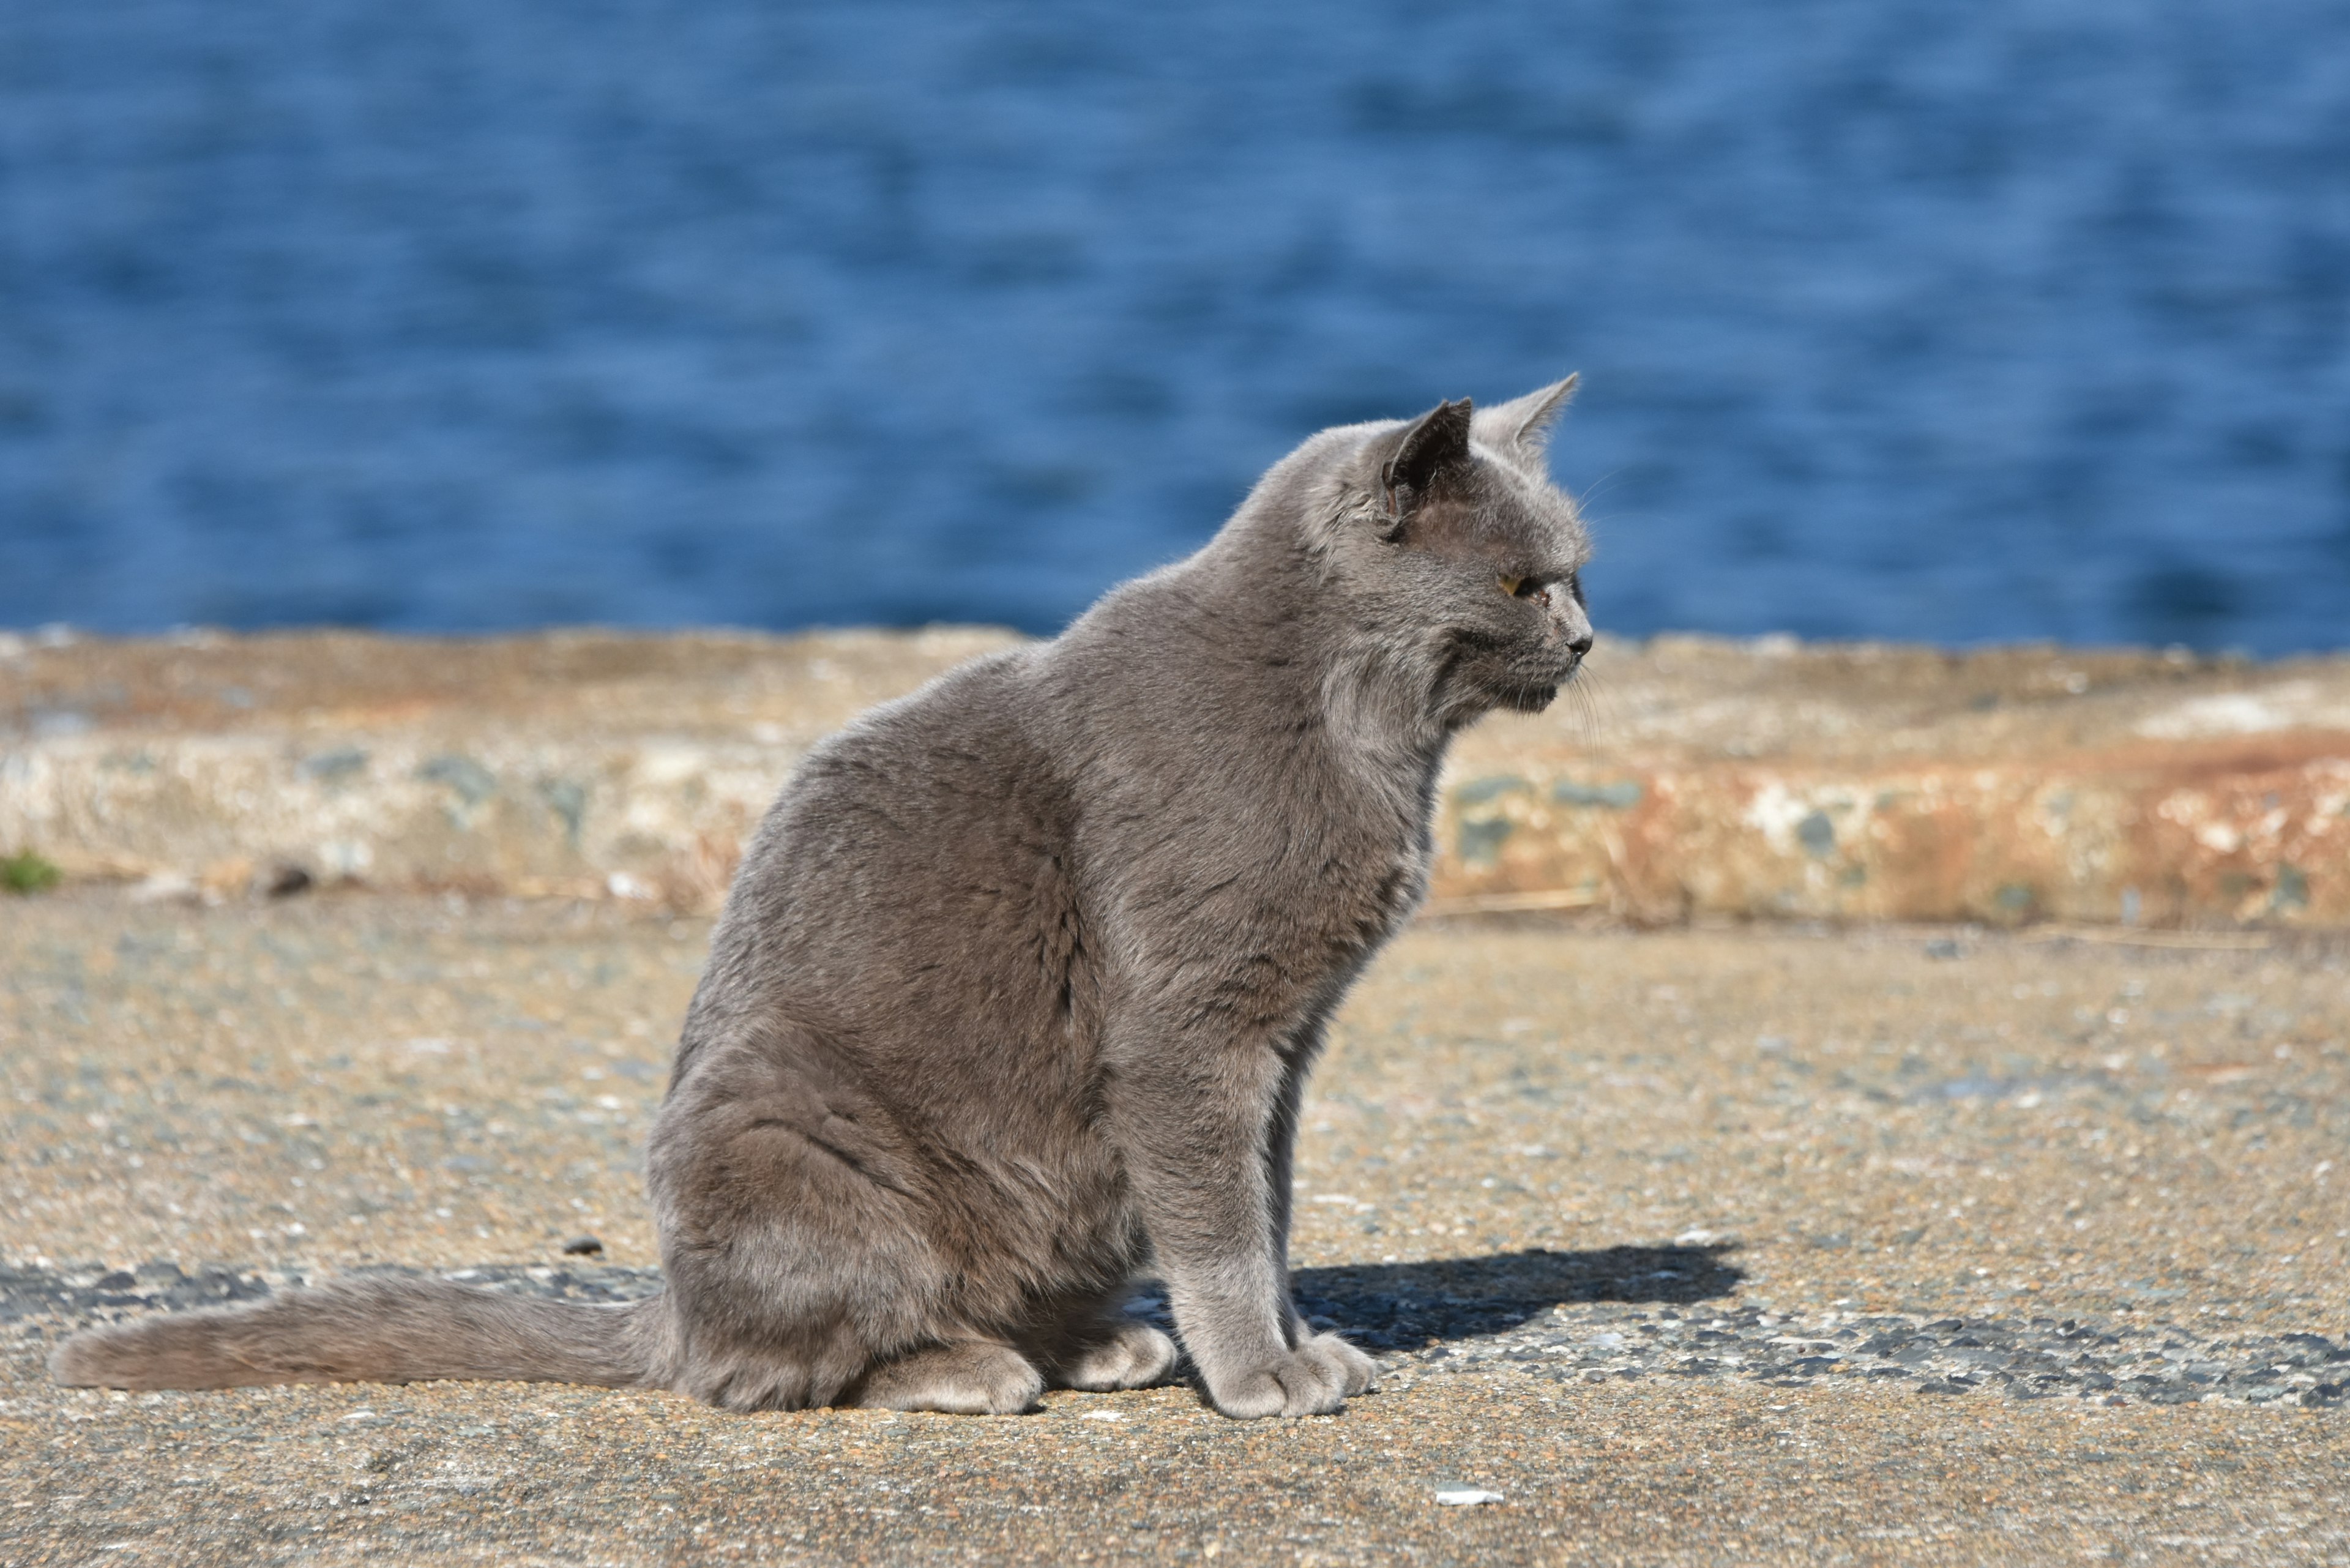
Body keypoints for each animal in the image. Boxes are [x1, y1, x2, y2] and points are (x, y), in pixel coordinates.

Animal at [59, 383, 1598, 1420]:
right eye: (1522, 581)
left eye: (1577, 571)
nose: (1588, 637)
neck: (1364, 729)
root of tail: (665, 1313)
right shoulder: (1189, 1030)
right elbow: (1223, 1226)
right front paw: (1260, 1373)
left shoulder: (1285, 1039)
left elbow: (1266, 1206)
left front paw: (1291, 1340)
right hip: (792, 1137)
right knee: (775, 1369)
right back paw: (973, 1368)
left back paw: (1096, 1343)